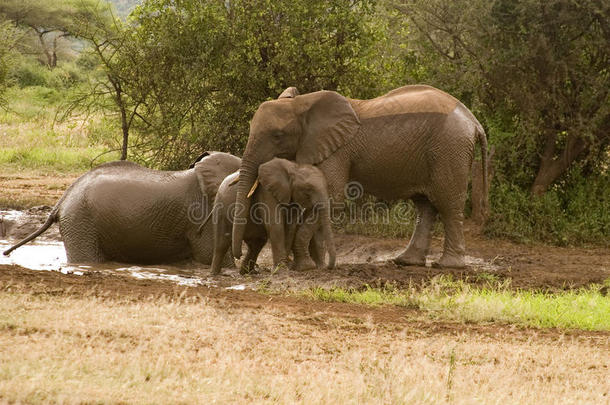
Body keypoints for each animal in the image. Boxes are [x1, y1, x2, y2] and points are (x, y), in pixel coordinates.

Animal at [230, 84, 486, 268]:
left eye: (277, 135)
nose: (237, 258)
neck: (303, 104)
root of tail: (474, 121)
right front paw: (311, 263)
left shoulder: (338, 150)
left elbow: (331, 198)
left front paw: (306, 266)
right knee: (425, 206)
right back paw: (406, 262)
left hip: (449, 149)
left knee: (447, 203)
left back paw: (448, 266)